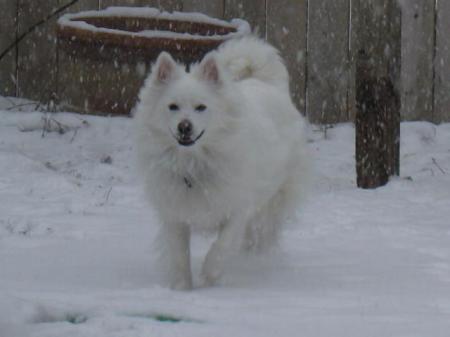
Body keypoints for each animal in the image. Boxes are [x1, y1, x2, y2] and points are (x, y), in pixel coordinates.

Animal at [135, 36, 308, 288]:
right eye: (173, 106)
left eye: (201, 107)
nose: (184, 127)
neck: (195, 161)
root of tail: (269, 85)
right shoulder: (175, 214)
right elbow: (179, 255)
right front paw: (182, 288)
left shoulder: (237, 209)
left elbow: (221, 246)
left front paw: (209, 277)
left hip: (273, 200)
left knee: (261, 233)